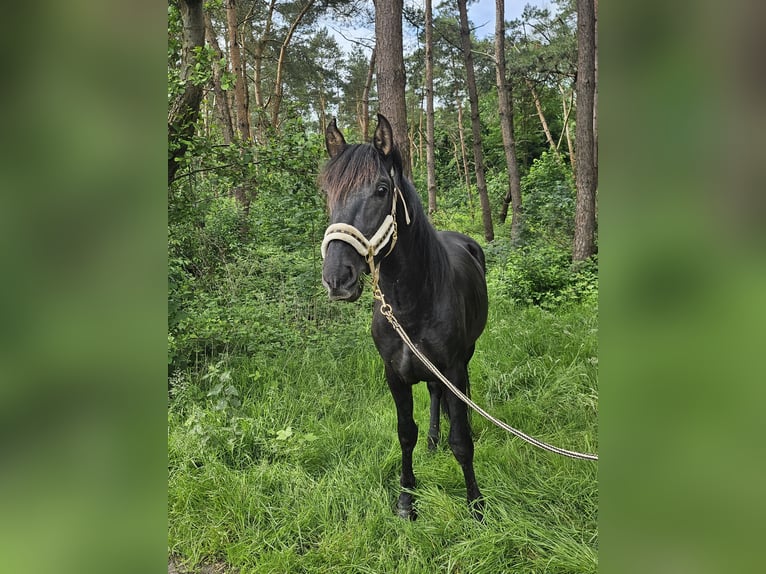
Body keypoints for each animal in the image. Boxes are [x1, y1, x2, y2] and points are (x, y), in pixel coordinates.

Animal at [320, 113, 488, 520]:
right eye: (327, 193)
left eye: (382, 189)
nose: (337, 278)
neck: (412, 303)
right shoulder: (394, 374)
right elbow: (405, 433)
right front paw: (406, 499)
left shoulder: (453, 368)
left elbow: (462, 440)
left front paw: (476, 505)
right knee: (433, 395)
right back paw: (433, 439)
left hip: (466, 356)